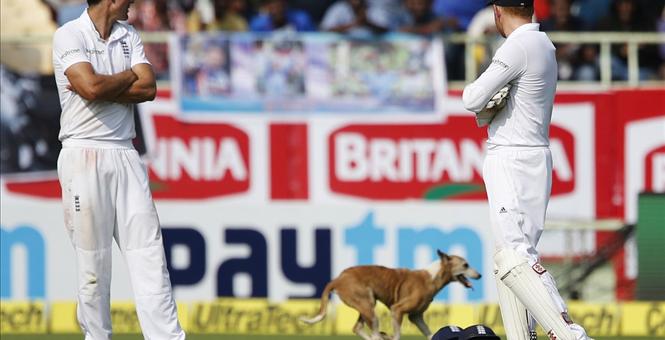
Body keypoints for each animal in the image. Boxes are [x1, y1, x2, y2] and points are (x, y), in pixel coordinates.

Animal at [302, 250, 482, 340]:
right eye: (465, 265)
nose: (479, 275)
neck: (432, 276)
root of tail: (337, 279)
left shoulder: (416, 317)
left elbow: (430, 334)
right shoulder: (397, 310)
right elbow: (397, 336)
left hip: (366, 306)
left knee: (359, 328)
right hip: (368, 307)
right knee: (373, 334)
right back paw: (380, 336)